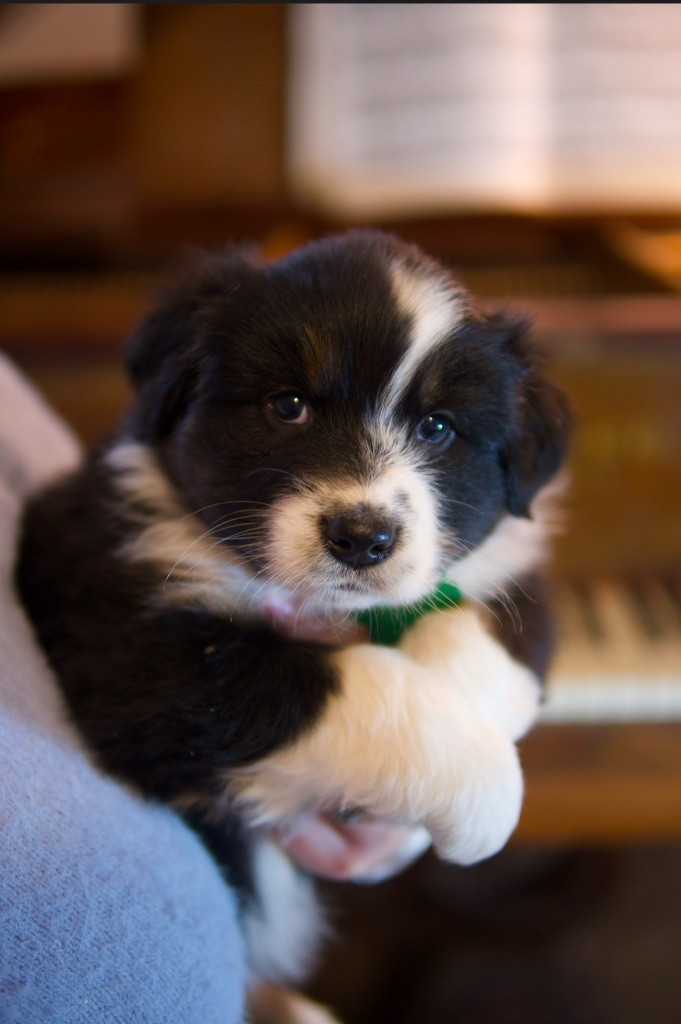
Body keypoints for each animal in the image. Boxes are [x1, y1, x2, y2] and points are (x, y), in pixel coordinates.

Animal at [15, 230, 569, 1024]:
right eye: (288, 405)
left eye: (438, 427)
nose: (362, 538)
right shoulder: (126, 636)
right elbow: (351, 686)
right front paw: (482, 786)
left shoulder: (515, 574)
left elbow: (485, 639)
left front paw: (461, 719)